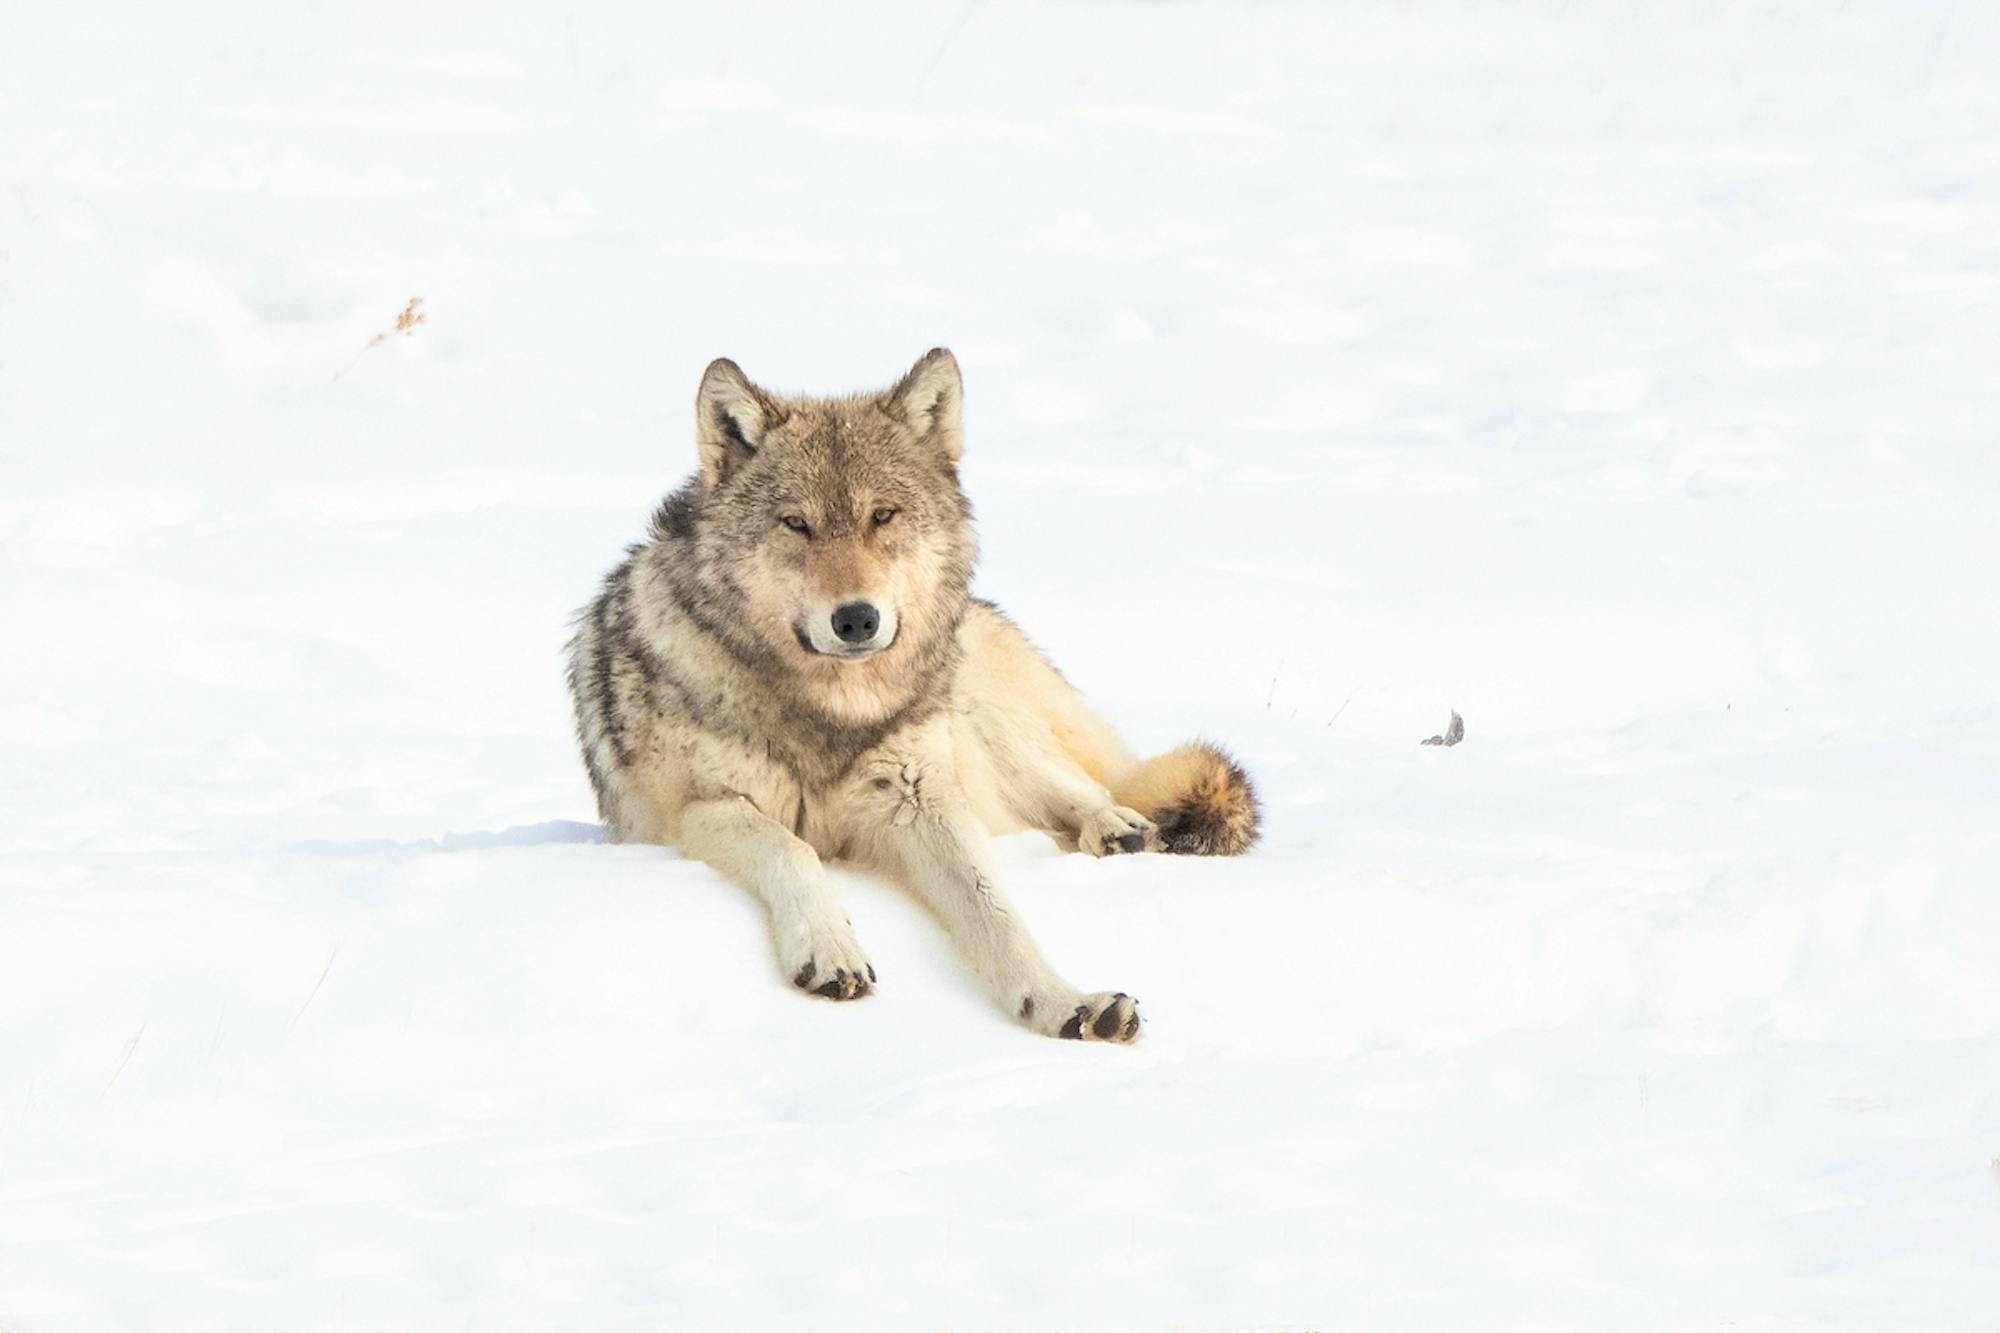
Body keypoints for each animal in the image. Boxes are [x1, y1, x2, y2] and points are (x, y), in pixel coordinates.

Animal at [566, 349, 1258, 1041]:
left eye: (883, 515)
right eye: (797, 524)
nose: (856, 619)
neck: (831, 711)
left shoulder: (919, 800)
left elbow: (997, 914)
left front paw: (1066, 1002)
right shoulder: (699, 810)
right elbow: (792, 849)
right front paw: (830, 948)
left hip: (975, 712)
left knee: (1089, 787)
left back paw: (1118, 827)